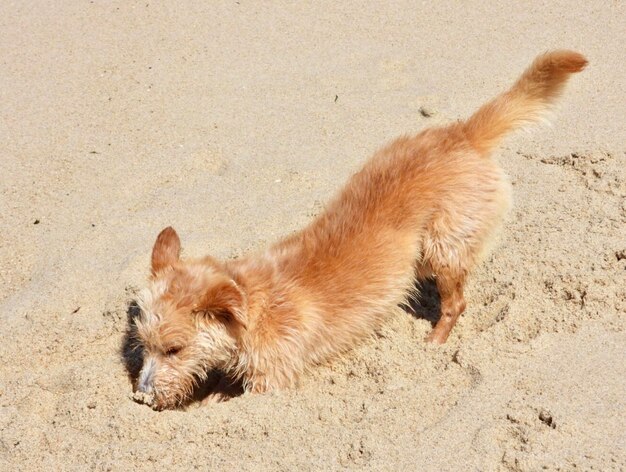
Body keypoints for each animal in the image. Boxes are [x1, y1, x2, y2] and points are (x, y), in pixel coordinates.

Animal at [130, 49, 584, 408]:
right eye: (144, 346)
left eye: (175, 348)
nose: (142, 395)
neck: (255, 306)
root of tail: (463, 134)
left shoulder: (273, 380)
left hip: (444, 246)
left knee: (456, 303)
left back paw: (433, 345)